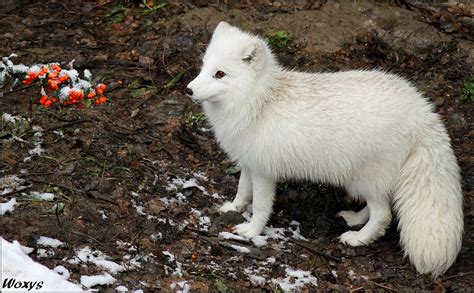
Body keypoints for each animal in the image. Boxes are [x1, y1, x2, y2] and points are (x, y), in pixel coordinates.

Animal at [185, 21, 462, 276]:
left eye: (220, 74)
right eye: (204, 67)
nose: (188, 90)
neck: (259, 102)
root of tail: (421, 109)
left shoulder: (264, 171)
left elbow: (262, 206)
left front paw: (251, 231)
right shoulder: (248, 162)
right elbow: (242, 190)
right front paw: (234, 208)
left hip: (367, 177)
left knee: (383, 214)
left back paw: (358, 239)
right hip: (363, 180)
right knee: (379, 207)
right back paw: (354, 219)